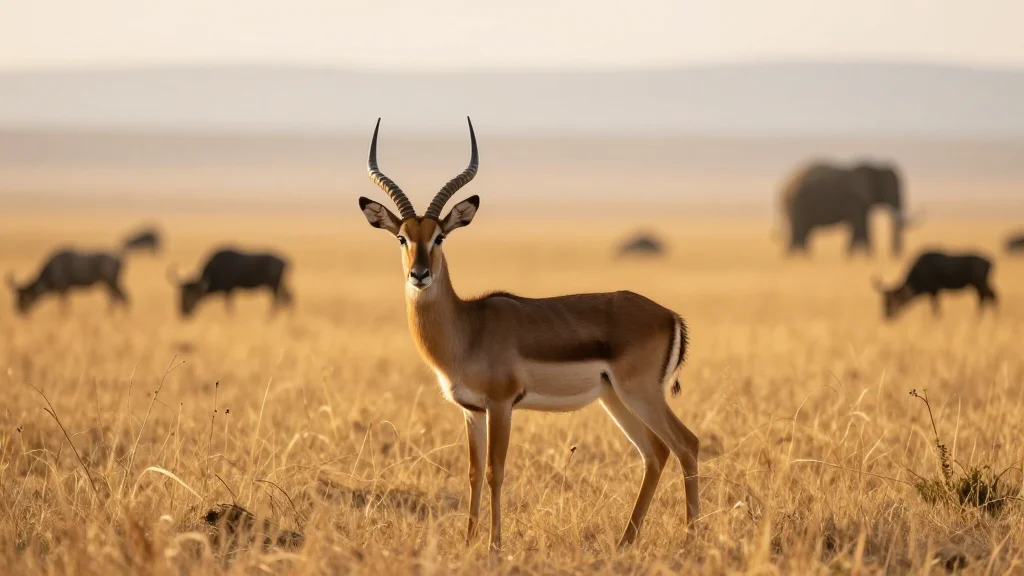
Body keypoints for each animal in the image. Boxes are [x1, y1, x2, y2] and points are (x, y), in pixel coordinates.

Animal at [356, 118, 699, 550]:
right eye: (402, 237)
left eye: (440, 237)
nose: (420, 274)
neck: (467, 329)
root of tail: (670, 315)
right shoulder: (471, 411)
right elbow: (472, 473)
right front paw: (468, 542)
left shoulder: (502, 405)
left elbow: (495, 472)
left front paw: (494, 545)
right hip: (615, 398)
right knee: (655, 453)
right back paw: (626, 541)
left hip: (641, 394)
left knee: (687, 444)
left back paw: (691, 539)